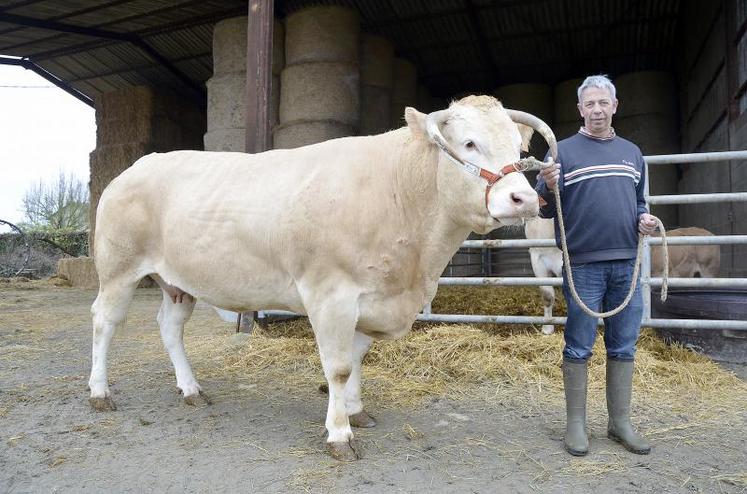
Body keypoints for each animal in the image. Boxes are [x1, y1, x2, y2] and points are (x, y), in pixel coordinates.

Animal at [87, 95, 556, 460]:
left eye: (518, 148)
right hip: (118, 269)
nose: (524, 198)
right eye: (469, 143)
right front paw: (339, 434)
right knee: (104, 323)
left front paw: (355, 411)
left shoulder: (370, 298)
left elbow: (359, 358)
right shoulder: (331, 295)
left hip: (178, 282)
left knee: (170, 328)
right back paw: (100, 393)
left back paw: (190, 389)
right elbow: (339, 366)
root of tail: (136, 167)